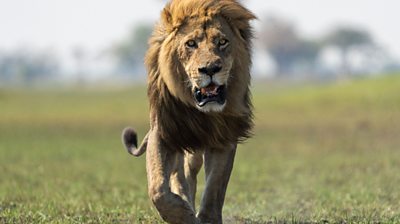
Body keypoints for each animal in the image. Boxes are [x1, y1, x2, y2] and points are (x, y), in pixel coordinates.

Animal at [121, 0, 256, 223]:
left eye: (222, 42)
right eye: (191, 44)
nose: (210, 69)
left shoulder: (223, 137)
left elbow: (214, 188)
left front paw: (206, 218)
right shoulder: (165, 132)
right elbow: (158, 188)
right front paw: (182, 213)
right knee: (180, 175)